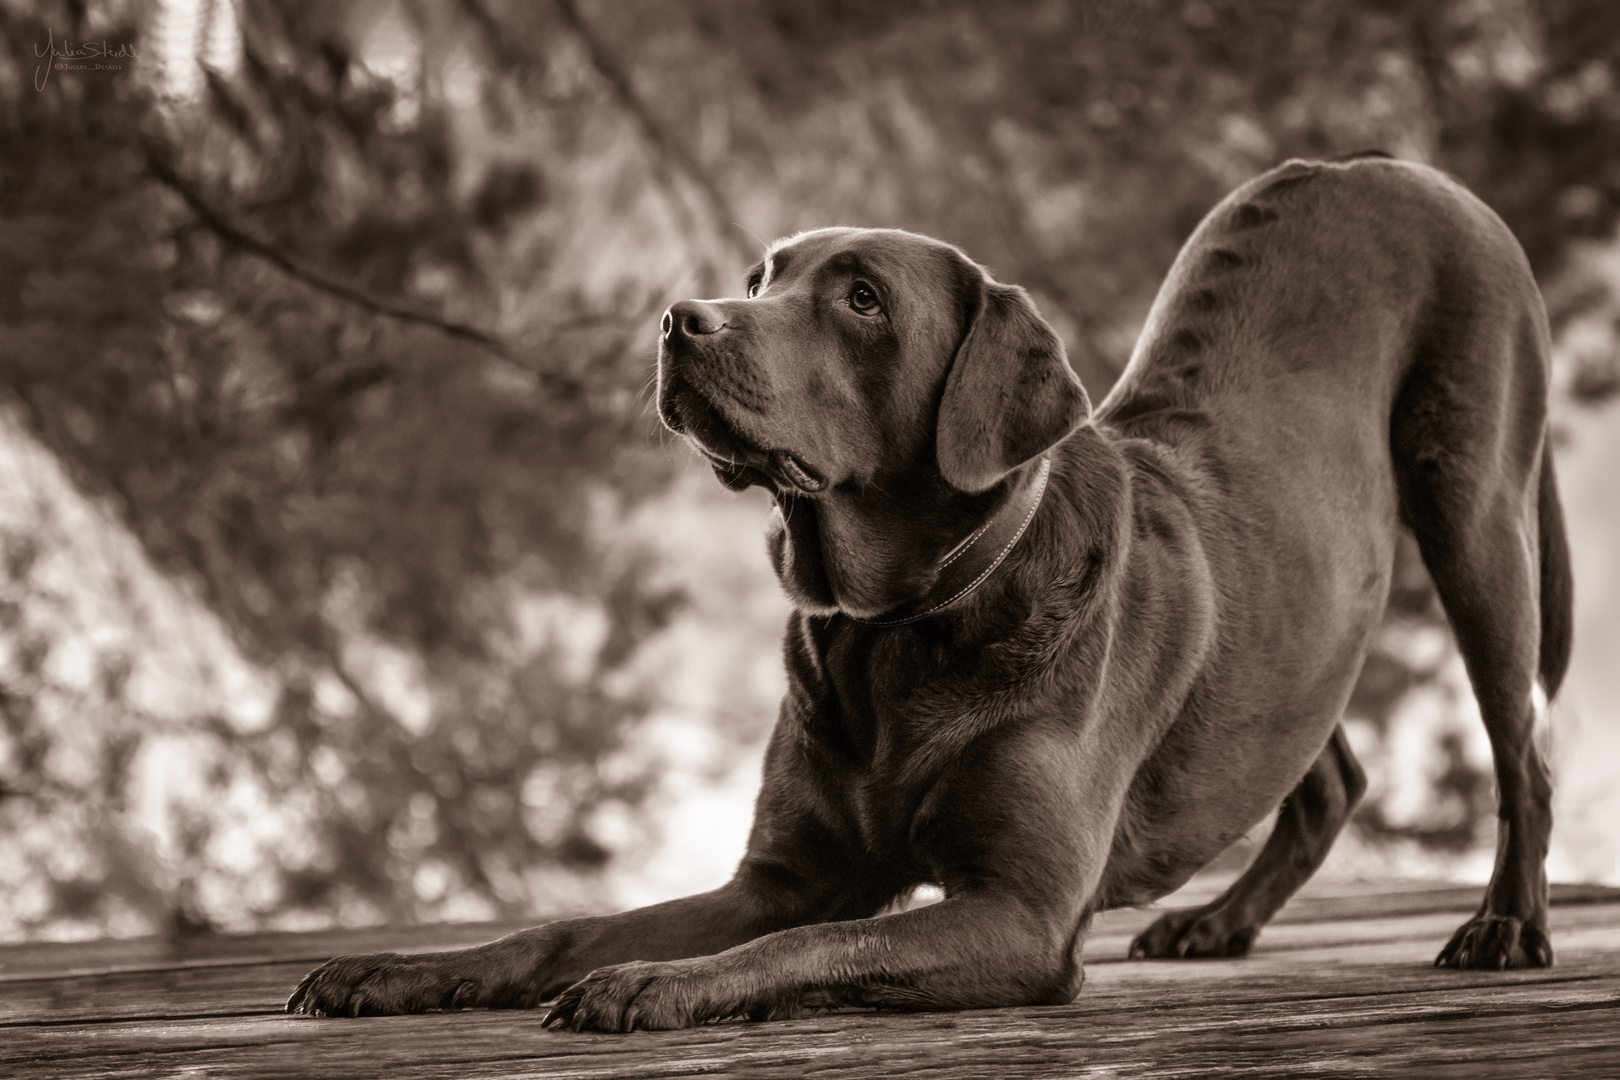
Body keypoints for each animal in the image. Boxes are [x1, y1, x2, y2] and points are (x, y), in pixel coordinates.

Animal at [288, 158, 1568, 1029]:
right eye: (761, 275)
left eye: (861, 298)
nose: (680, 320)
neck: (891, 634)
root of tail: (1386, 163)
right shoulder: (782, 875)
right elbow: (573, 925)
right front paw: (400, 969)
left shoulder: (1020, 914)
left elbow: (808, 951)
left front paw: (650, 982)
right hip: (1305, 612)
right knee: (1324, 763)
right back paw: (1220, 920)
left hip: (1475, 513)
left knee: (1523, 747)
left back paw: (1506, 925)